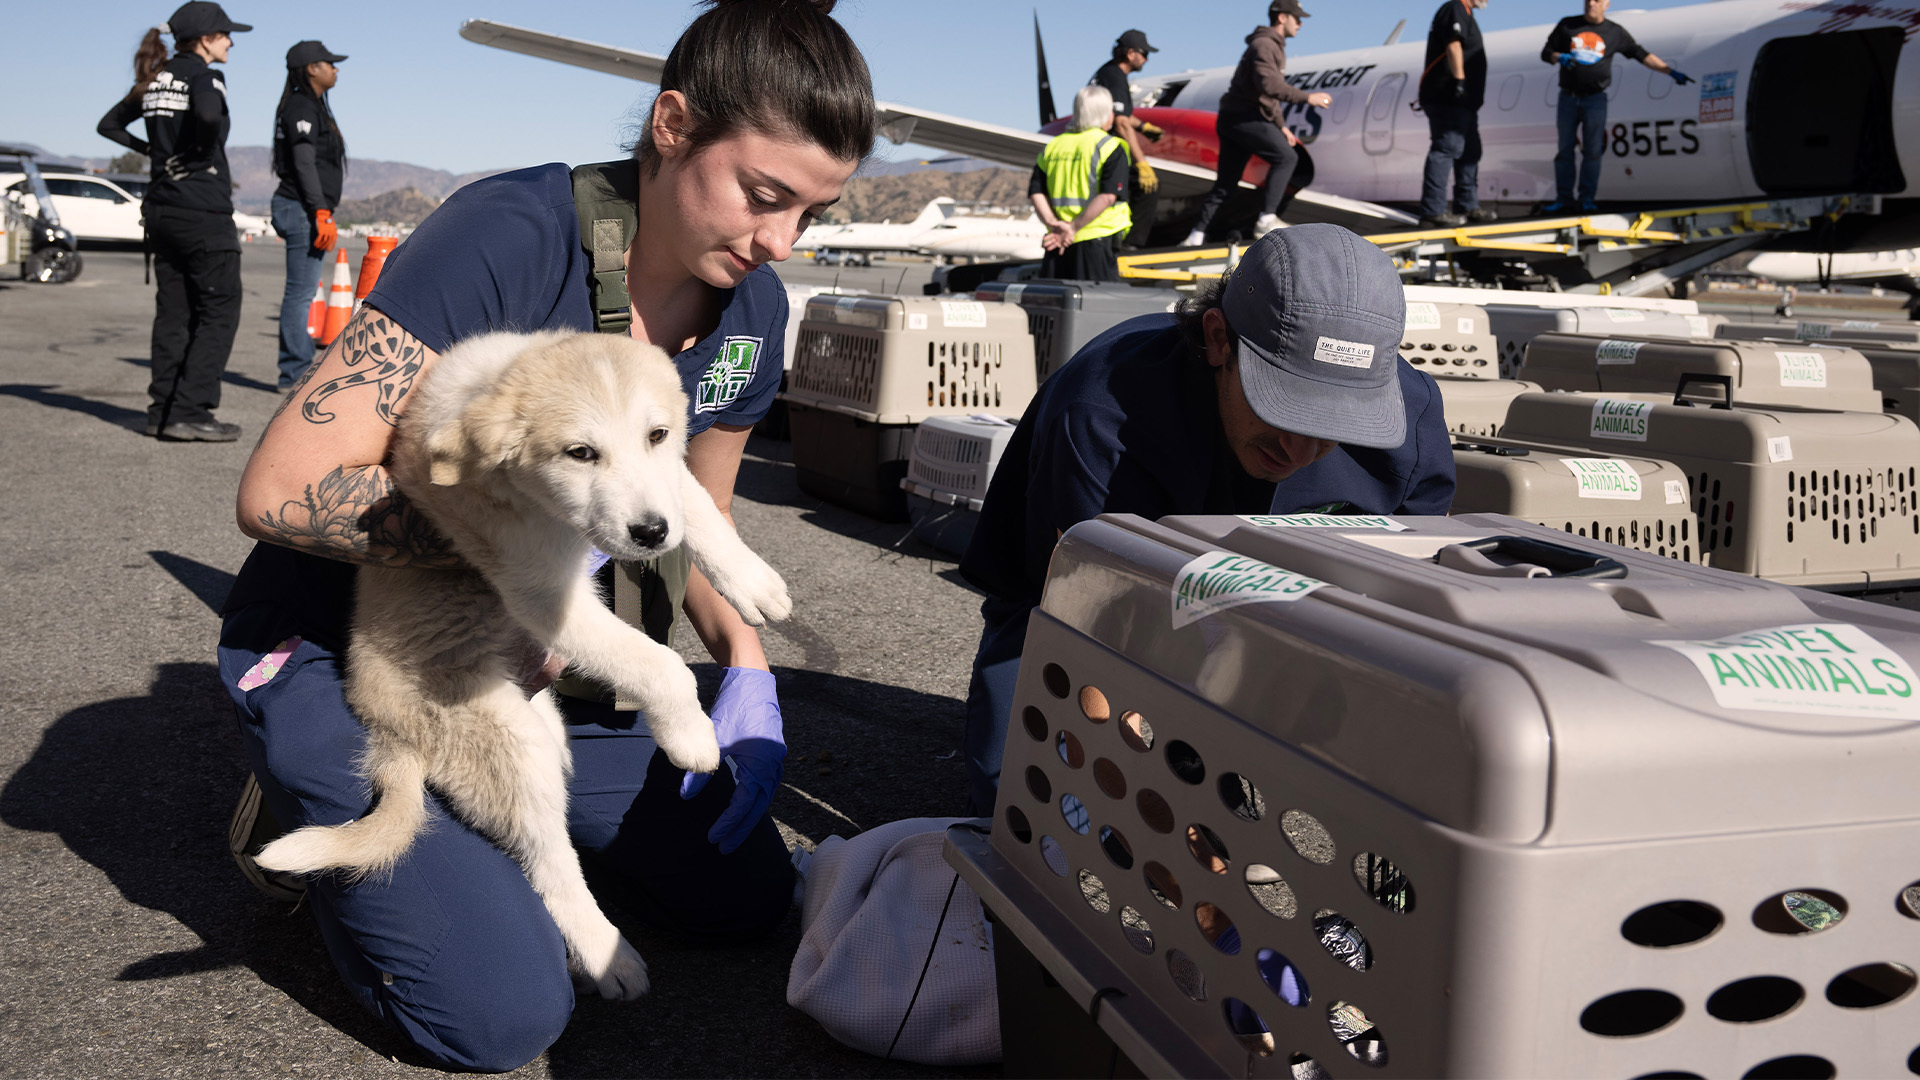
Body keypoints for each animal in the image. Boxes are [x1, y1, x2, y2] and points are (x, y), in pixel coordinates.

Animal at [259, 330, 791, 999]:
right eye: (580, 453)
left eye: (658, 434)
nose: (649, 534)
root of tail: (389, 731)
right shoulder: (540, 592)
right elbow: (658, 660)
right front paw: (692, 735)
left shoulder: (665, 482)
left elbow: (698, 505)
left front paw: (754, 584)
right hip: (509, 745)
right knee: (549, 868)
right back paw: (609, 958)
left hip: (537, 726)